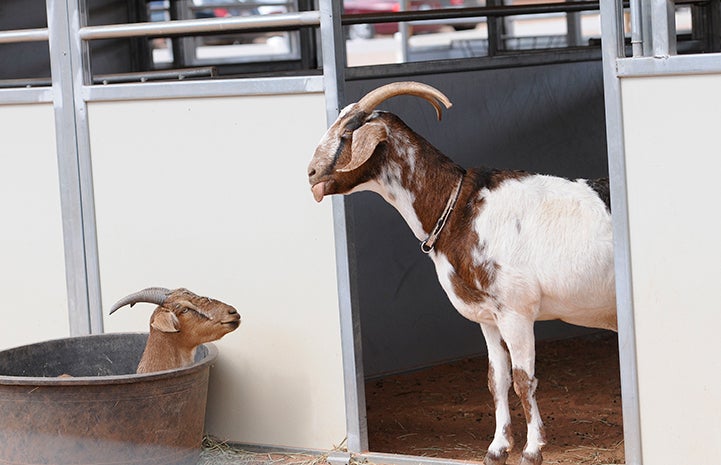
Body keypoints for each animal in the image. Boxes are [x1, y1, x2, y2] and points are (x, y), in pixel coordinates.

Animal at [306, 81, 616, 464]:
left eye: (347, 134)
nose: (310, 173)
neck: (459, 209)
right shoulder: (488, 317)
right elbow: (496, 380)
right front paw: (497, 448)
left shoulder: (516, 311)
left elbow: (522, 379)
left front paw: (532, 450)